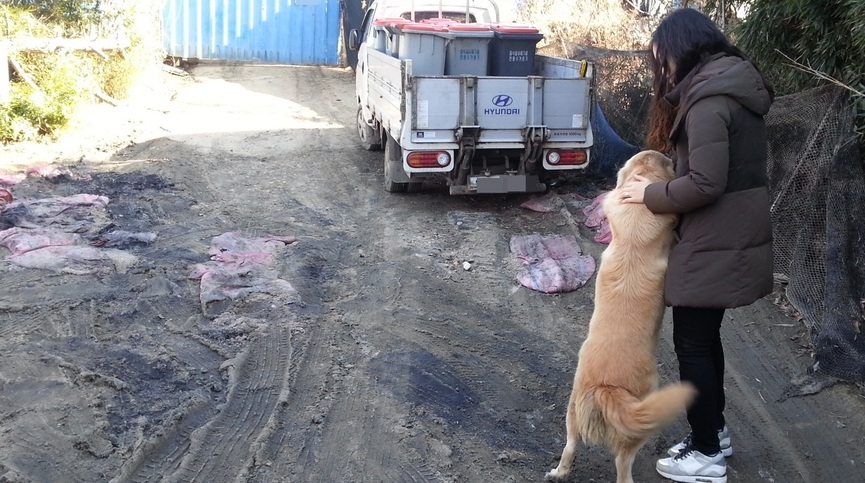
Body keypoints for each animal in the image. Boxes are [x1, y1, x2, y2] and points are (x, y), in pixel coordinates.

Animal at [548, 151, 696, 483]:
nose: (670, 155)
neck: (635, 217)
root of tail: (607, 387)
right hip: (637, 428)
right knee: (622, 467)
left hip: (572, 412)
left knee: (569, 447)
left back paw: (559, 472)